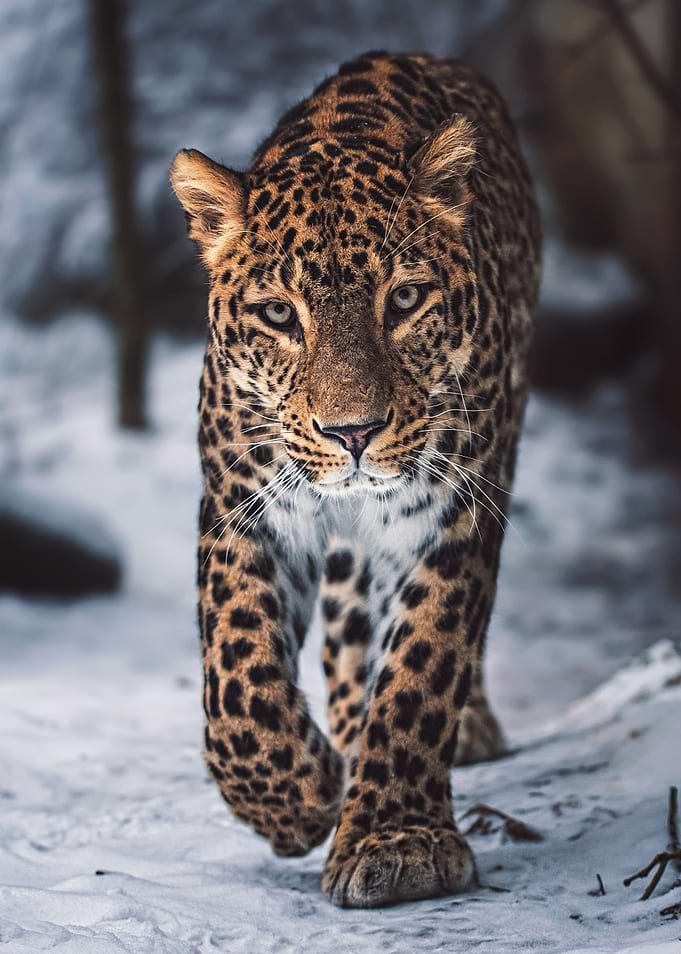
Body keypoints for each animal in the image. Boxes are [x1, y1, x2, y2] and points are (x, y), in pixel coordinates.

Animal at [170, 50, 541, 909]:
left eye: (403, 299)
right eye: (279, 315)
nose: (352, 434)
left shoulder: (451, 510)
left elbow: (422, 665)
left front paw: (395, 840)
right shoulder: (245, 506)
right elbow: (234, 675)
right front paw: (299, 797)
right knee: (344, 621)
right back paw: (340, 731)